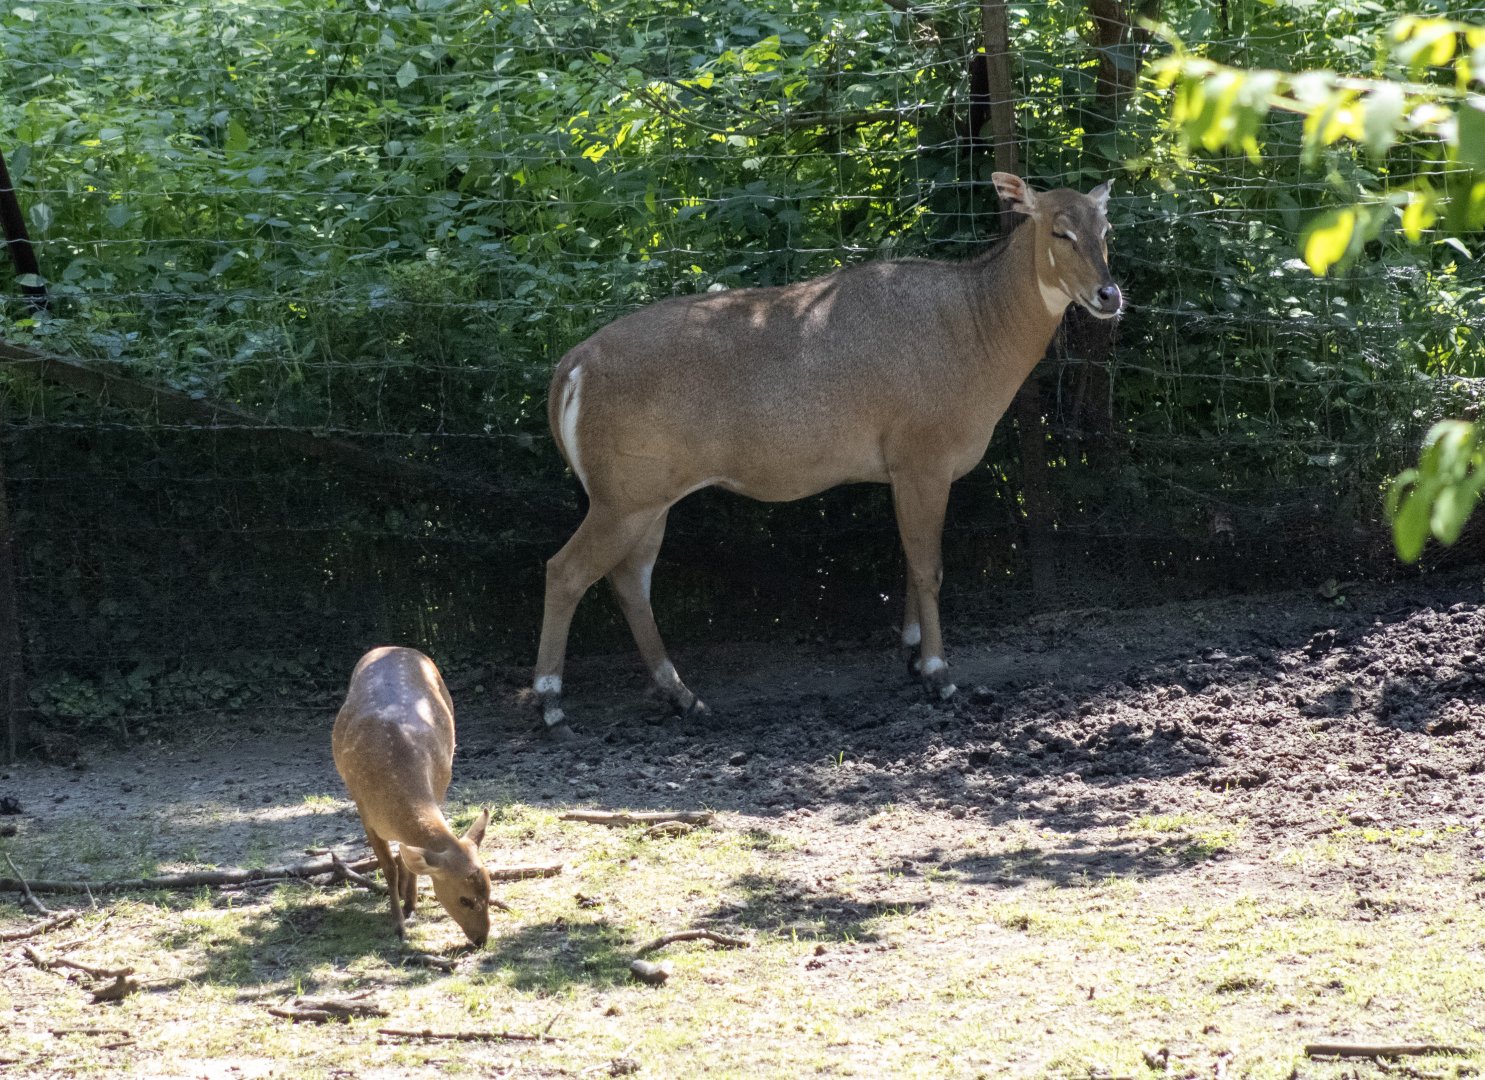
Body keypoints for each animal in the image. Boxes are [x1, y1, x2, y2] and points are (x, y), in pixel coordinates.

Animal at [332, 646, 493, 945]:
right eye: (464, 899)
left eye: (489, 890)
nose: (481, 939)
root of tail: (394, 646)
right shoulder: (364, 810)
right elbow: (388, 867)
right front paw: (398, 926)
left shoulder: (439, 788)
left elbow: (408, 861)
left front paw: (411, 906)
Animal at [533, 173, 1121, 738]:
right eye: (1059, 231)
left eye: (1105, 229)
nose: (1109, 294)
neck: (977, 327)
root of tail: (572, 366)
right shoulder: (924, 460)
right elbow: (928, 567)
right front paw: (938, 674)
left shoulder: (902, 472)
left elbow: (909, 560)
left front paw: (912, 655)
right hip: (623, 499)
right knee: (566, 571)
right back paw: (551, 706)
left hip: (649, 502)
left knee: (630, 581)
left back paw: (685, 698)